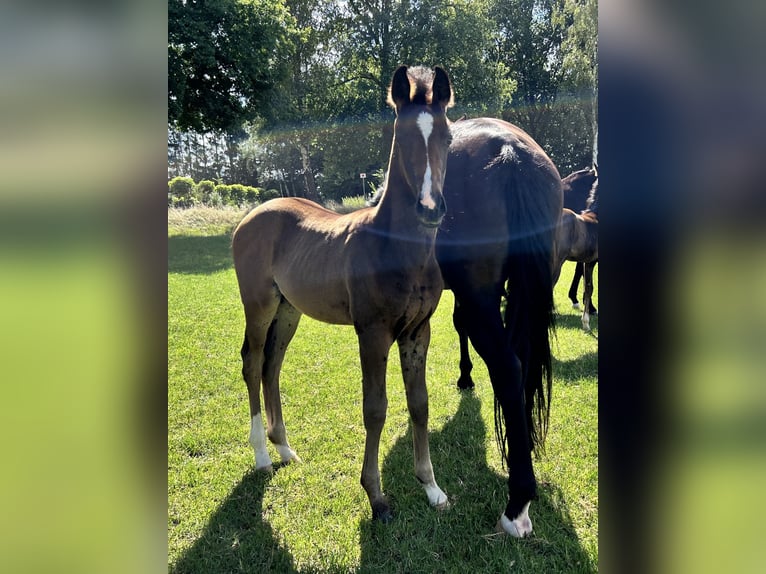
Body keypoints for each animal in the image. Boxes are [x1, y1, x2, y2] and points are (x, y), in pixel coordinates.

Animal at [231, 66, 452, 520]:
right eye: (401, 136)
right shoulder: (372, 333)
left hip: (288, 311)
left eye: (449, 137)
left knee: (272, 366)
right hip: (259, 306)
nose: (430, 208)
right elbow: (375, 408)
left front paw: (432, 488)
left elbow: (419, 404)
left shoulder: (418, 331)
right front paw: (376, 495)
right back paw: (262, 455)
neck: (399, 249)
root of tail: (250, 217)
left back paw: (285, 449)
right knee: (252, 362)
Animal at [438, 118, 564, 540]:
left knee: (507, 367)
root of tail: (510, 152)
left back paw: (517, 504)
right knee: (523, 364)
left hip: (481, 298)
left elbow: (456, 323)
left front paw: (464, 377)